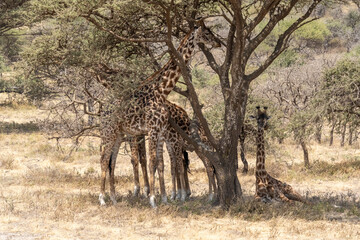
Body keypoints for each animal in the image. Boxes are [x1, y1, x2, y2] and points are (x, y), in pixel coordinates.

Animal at [98, 21, 219, 207]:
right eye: (206, 33)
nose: (218, 43)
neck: (162, 91)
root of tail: (103, 109)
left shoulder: (161, 132)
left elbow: (160, 164)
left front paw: (164, 199)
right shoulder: (152, 130)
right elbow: (152, 162)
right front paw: (153, 200)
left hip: (118, 134)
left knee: (112, 161)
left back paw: (113, 199)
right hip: (108, 131)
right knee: (104, 159)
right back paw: (102, 199)